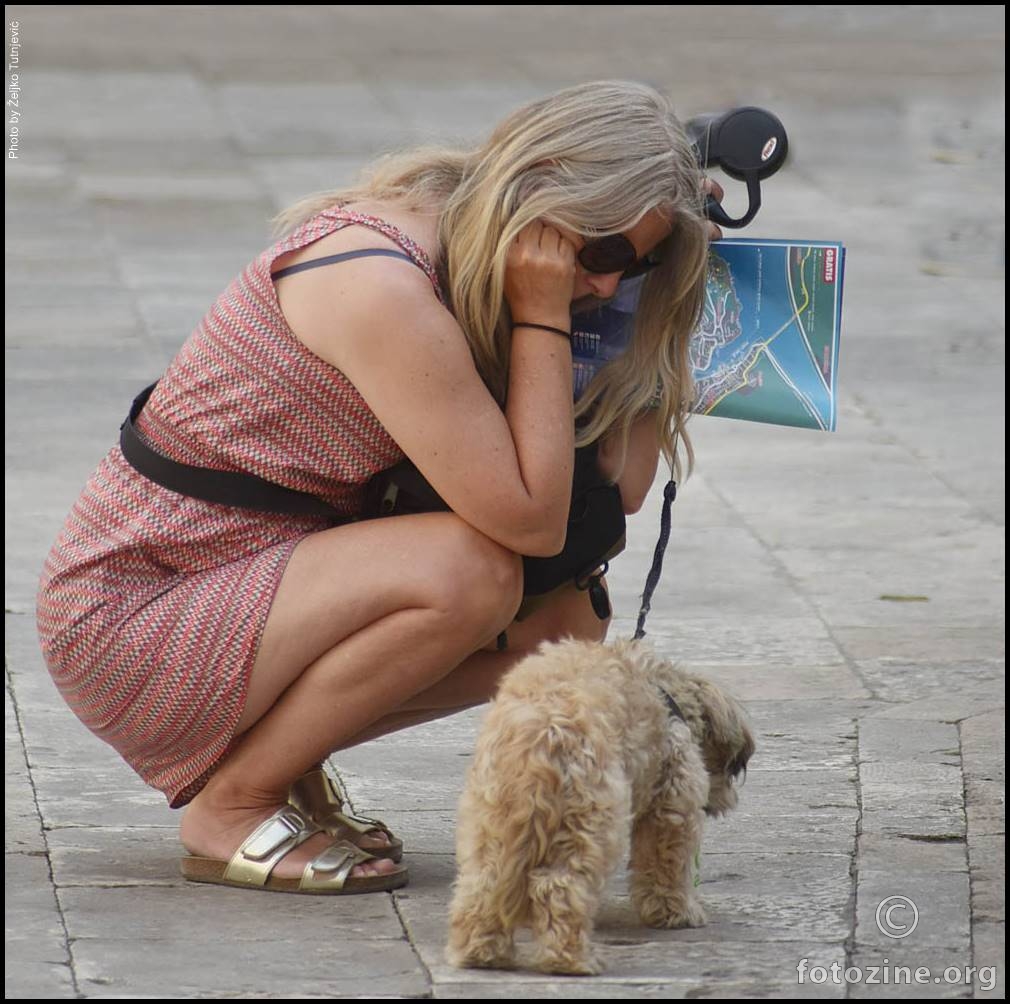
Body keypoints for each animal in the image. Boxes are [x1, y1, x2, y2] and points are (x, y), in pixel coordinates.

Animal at [446, 634, 755, 969]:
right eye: (732, 766)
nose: (729, 800)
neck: (667, 694)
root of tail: (542, 734)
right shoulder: (673, 805)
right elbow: (668, 867)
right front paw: (678, 912)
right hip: (592, 820)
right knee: (561, 888)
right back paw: (569, 960)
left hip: (490, 820)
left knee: (481, 887)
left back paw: (481, 952)